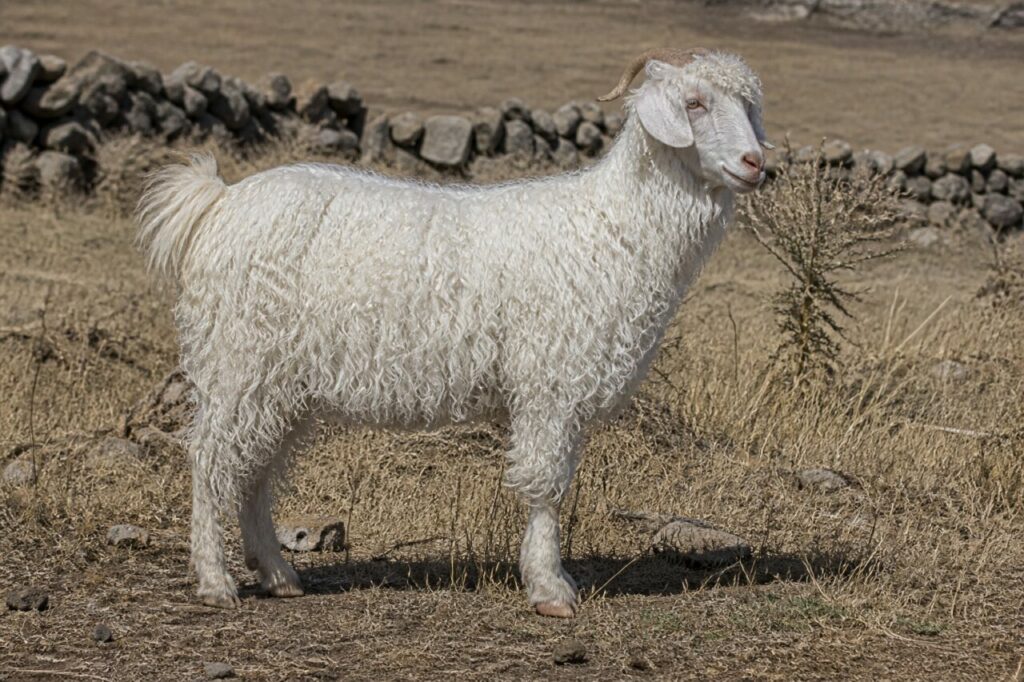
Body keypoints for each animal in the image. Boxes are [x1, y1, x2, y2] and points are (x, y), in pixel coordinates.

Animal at [137, 48, 770, 617]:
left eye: (748, 104)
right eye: (694, 103)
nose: (755, 163)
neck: (610, 226)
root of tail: (218, 202)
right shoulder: (549, 385)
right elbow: (546, 487)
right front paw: (551, 588)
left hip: (278, 382)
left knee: (254, 471)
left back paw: (276, 573)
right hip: (237, 361)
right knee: (211, 460)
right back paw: (216, 580)